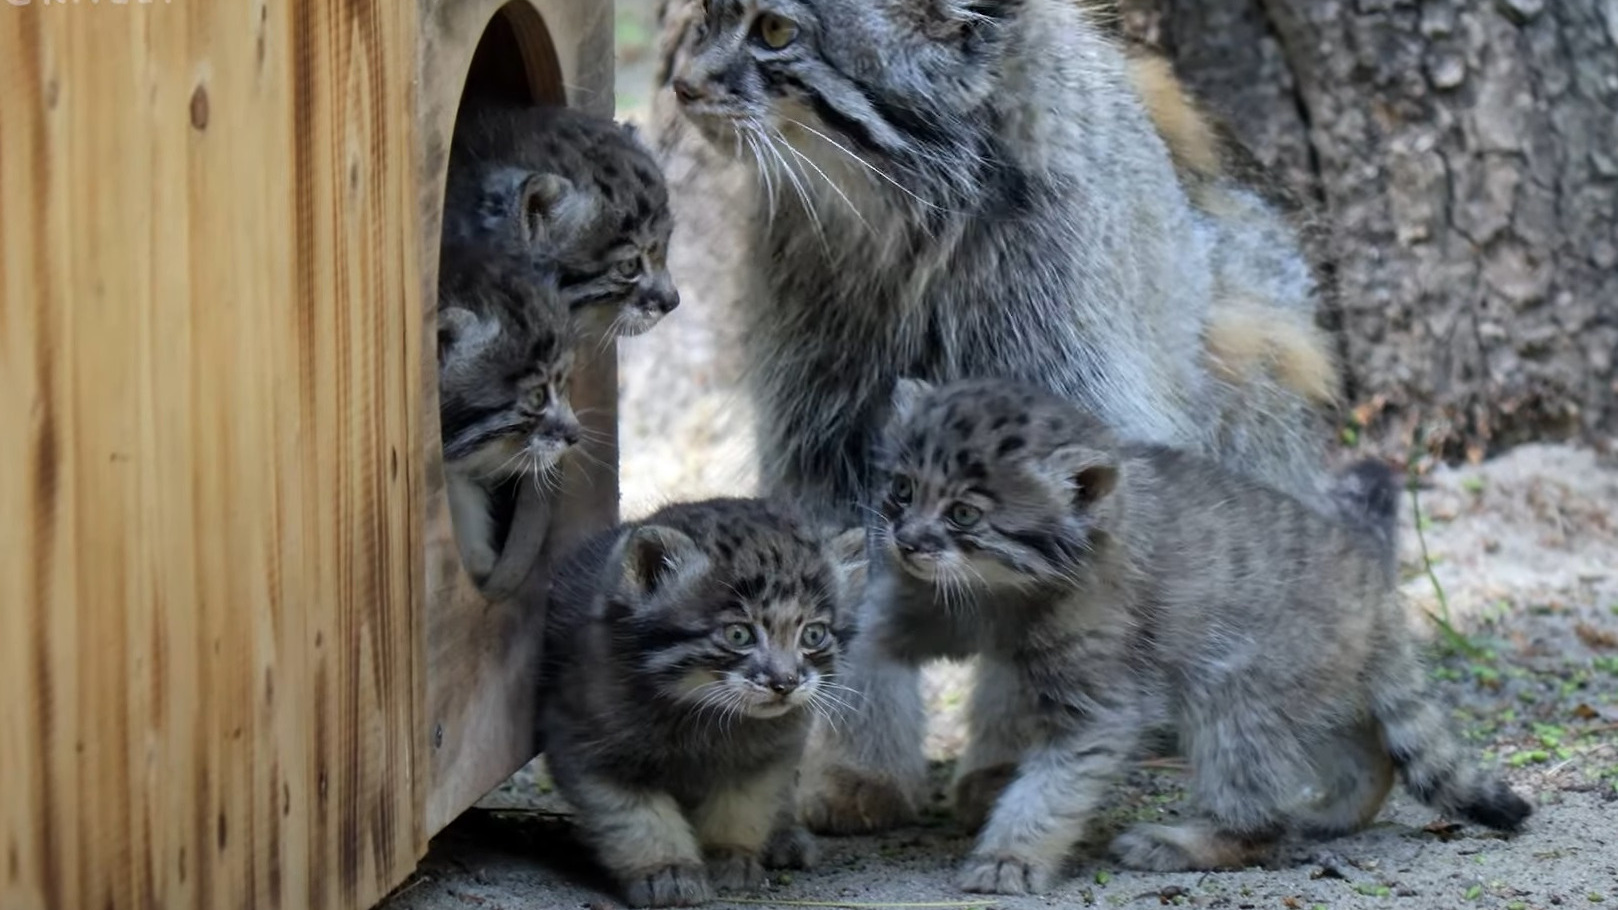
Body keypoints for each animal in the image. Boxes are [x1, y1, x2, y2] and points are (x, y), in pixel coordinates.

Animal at [540, 498, 860, 900]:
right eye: (738, 634)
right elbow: (637, 818)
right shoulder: (589, 746)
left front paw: (728, 855)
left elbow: (742, 806)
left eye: (813, 635)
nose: (785, 683)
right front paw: (666, 870)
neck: (700, 712)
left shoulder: (765, 754)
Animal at [860, 375, 1527, 893]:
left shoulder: (1098, 704)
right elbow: (874, 656)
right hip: (1304, 688)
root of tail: (1375, 581)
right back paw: (1334, 811)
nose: (907, 541)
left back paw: (1186, 843)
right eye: (902, 489)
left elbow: (1051, 788)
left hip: (1237, 693)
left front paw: (1010, 857)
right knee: (1367, 752)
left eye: (963, 514)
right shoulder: (921, 616)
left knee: (1262, 818)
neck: (997, 590)